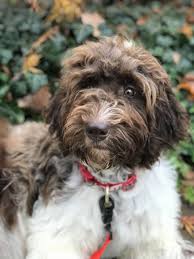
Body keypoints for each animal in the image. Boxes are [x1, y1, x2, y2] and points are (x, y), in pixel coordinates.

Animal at [0, 37, 194, 259]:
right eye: (87, 84)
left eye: (130, 91)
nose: (95, 129)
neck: (110, 187)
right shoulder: (56, 237)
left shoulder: (154, 236)